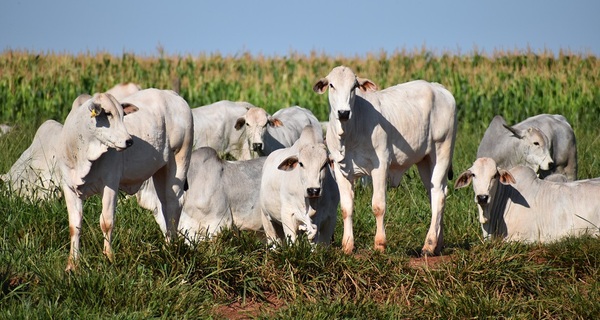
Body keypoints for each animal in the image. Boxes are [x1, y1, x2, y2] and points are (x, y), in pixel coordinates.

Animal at [59, 89, 192, 272]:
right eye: (107, 113)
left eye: (123, 116)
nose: (129, 141)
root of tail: (173, 95)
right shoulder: (69, 186)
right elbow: (75, 225)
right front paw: (72, 264)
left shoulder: (110, 183)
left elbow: (106, 222)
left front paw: (108, 258)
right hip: (160, 171)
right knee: (164, 204)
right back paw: (167, 245)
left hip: (180, 161)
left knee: (174, 204)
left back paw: (170, 249)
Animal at [314, 65, 454, 255]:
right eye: (331, 85)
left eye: (354, 87)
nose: (343, 112)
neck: (350, 133)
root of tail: (439, 88)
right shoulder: (340, 169)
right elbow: (346, 208)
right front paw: (347, 245)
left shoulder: (380, 166)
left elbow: (378, 206)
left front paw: (380, 244)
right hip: (425, 160)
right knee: (435, 193)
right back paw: (438, 244)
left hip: (442, 151)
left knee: (438, 195)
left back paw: (429, 244)